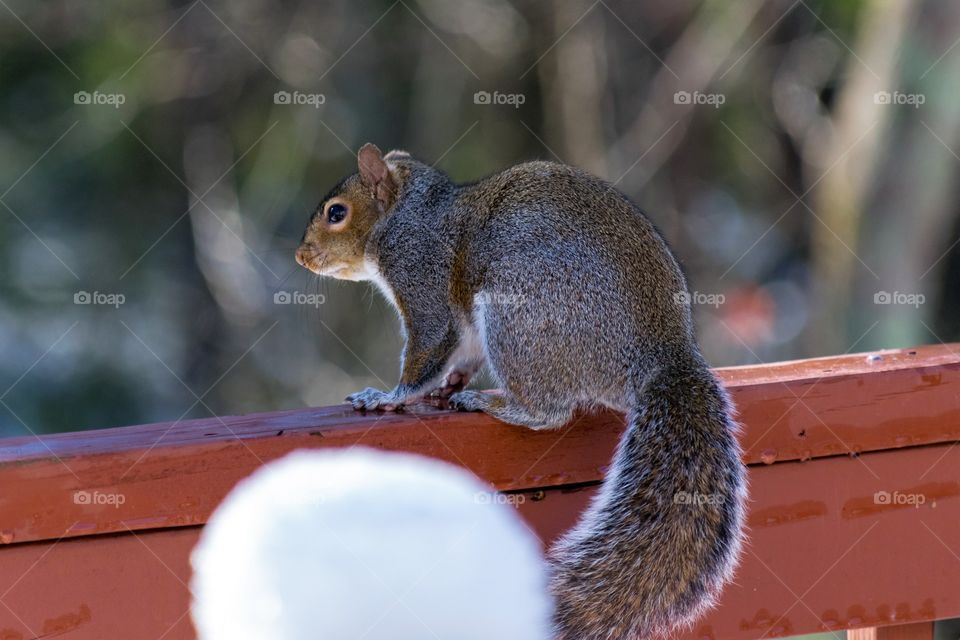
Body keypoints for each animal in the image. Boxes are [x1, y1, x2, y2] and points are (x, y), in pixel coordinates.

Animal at [295, 143, 747, 640]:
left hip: (519, 319)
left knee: (548, 412)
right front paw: (449, 384)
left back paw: (491, 402)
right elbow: (462, 355)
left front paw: (387, 396)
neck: (406, 212)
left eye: (337, 213)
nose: (301, 256)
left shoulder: (421, 275)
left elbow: (428, 347)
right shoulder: (464, 328)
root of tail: (663, 353)